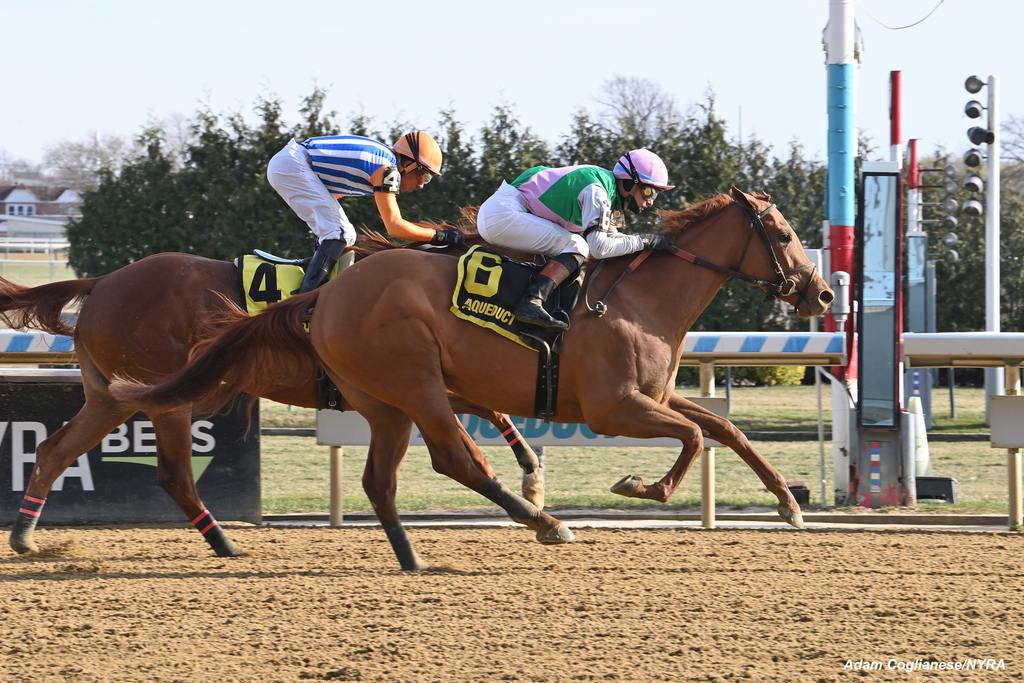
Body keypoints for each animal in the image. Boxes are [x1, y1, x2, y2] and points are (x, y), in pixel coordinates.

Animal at [2, 237, 544, 557]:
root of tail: (102, 282)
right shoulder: (401, 378)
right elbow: (476, 410)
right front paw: (530, 492)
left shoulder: (415, 380)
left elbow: (489, 406)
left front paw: (531, 474)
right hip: (165, 396)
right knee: (175, 475)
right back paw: (223, 542)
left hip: (111, 396)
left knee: (55, 449)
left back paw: (25, 536)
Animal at [112, 187, 831, 573]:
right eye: (783, 233)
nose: (821, 293)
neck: (638, 297)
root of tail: (332, 290)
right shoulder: (614, 407)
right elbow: (691, 438)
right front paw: (641, 486)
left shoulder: (652, 394)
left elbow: (725, 428)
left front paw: (789, 502)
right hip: (417, 384)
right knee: (456, 458)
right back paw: (544, 523)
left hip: (384, 401)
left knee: (382, 478)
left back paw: (413, 555)